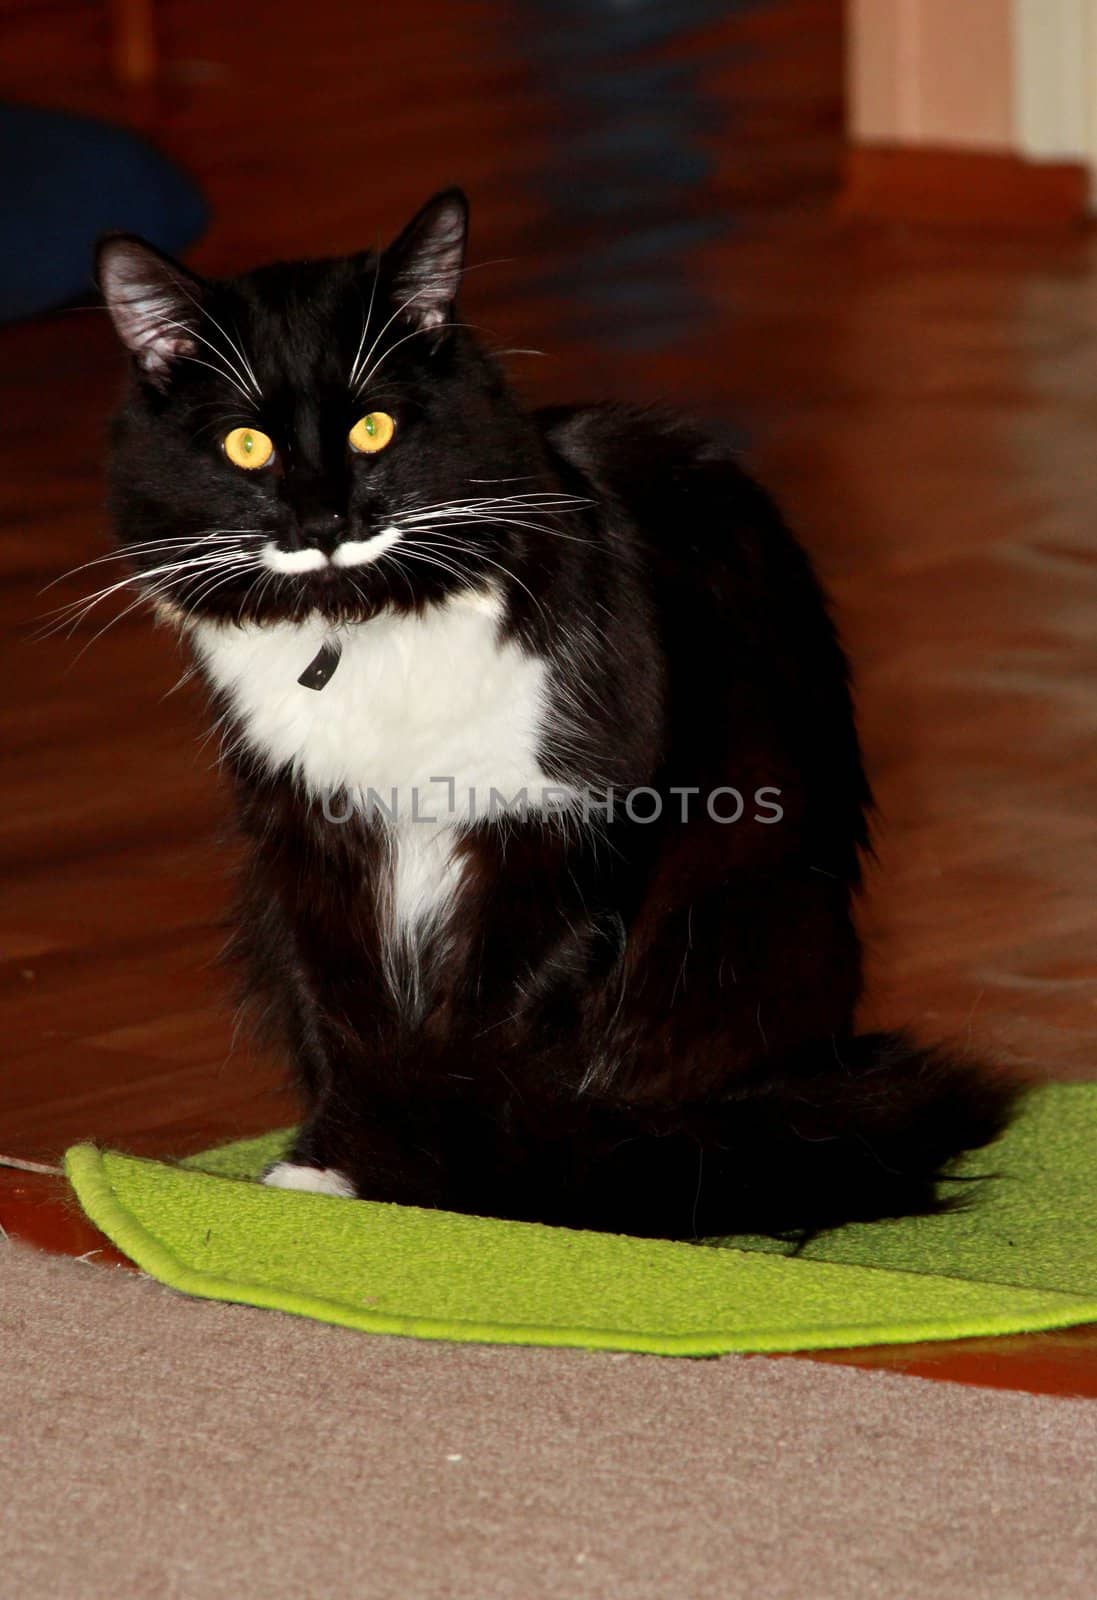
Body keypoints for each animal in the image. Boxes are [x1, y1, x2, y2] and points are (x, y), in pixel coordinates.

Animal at [96, 187, 1023, 1235]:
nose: (325, 524)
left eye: (373, 429)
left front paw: (426, 1184)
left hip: (737, 927)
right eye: (245, 445)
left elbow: (481, 1031)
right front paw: (331, 1170)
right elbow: (343, 1011)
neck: (364, 622)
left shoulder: (560, 831)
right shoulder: (306, 836)